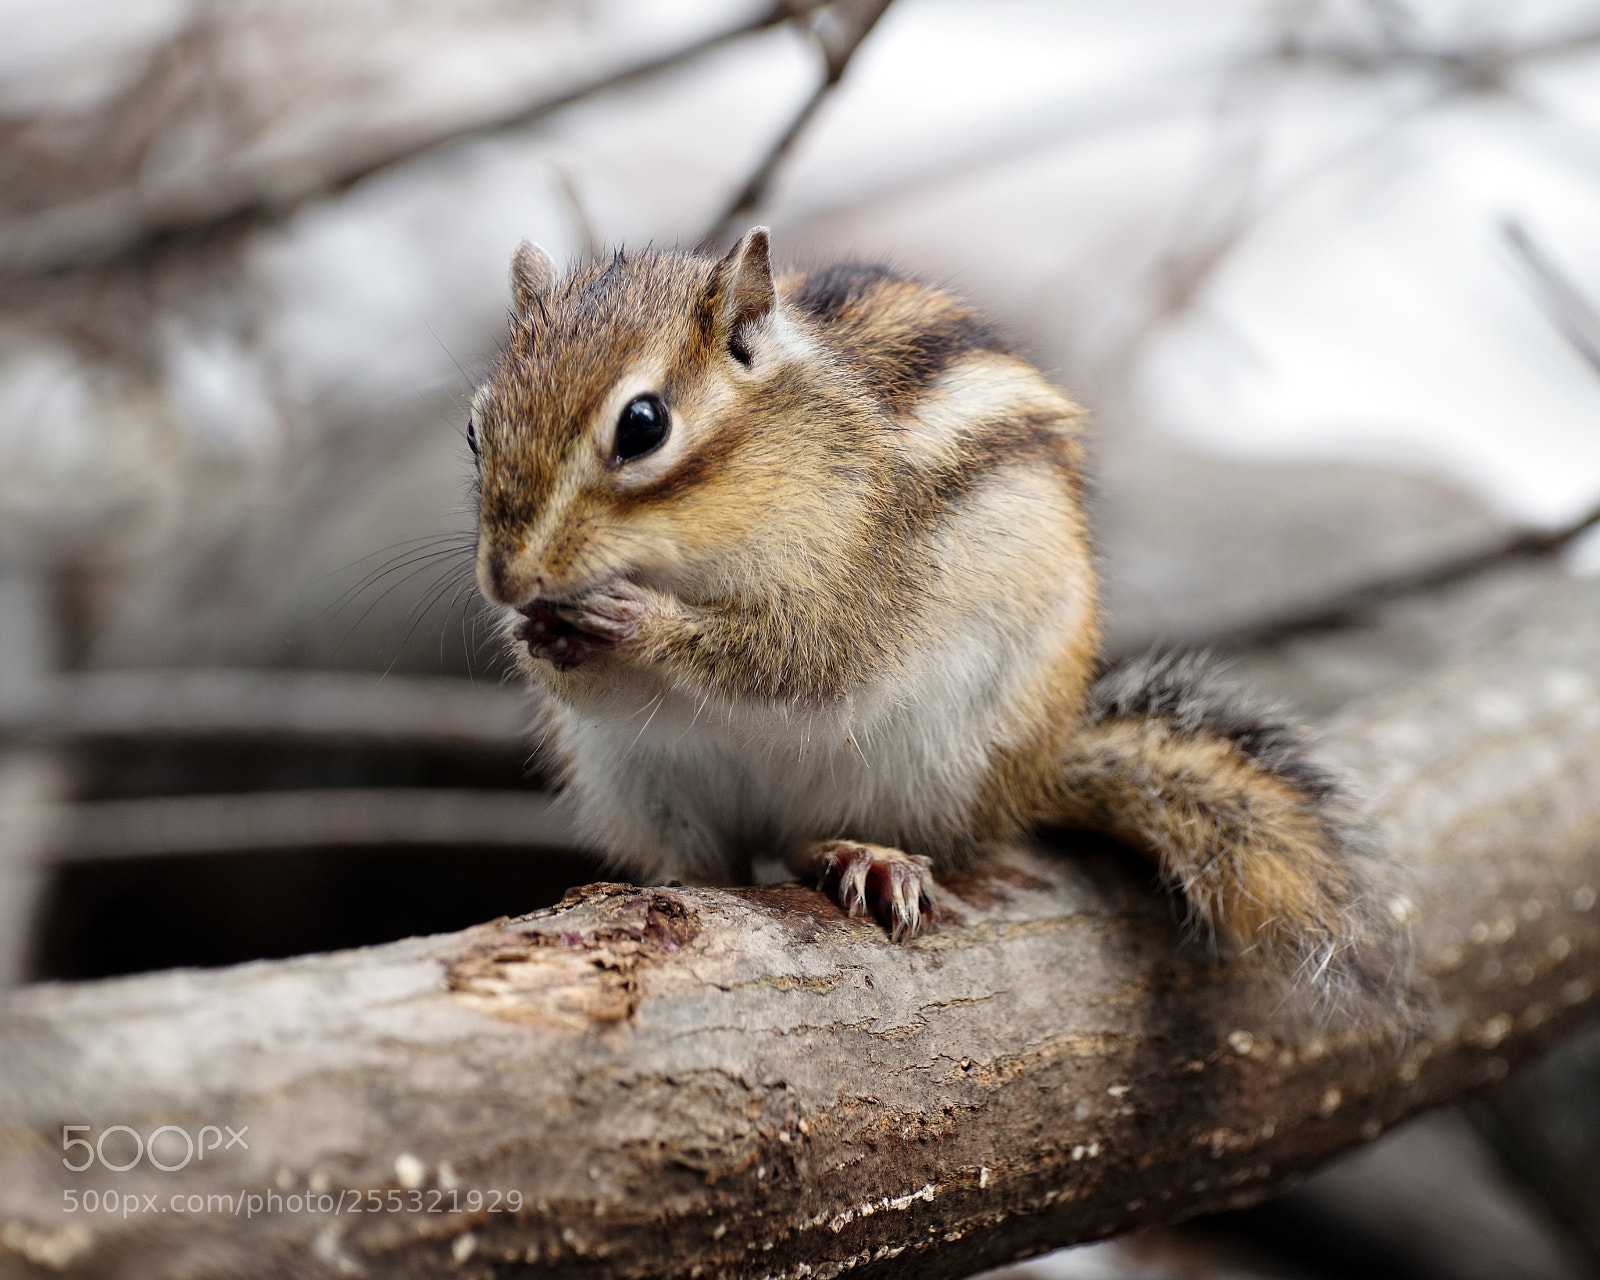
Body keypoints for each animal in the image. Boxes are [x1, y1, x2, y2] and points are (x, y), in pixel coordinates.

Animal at [467, 227, 1408, 1013]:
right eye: (477, 430)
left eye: (643, 425)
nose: (509, 579)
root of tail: (1037, 776)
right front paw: (536, 637)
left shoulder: (858, 582)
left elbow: (796, 660)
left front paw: (636, 618)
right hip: (642, 785)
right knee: (716, 865)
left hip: (935, 764)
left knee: (816, 841)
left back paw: (865, 857)